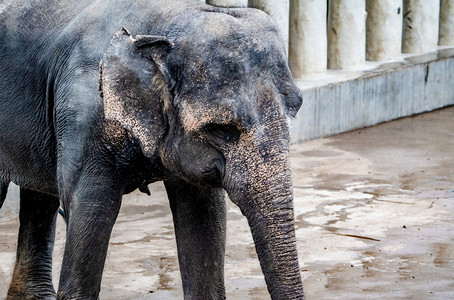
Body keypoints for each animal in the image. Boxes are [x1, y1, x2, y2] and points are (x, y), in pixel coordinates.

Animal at [0, 0, 306, 298]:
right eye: (222, 129)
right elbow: (91, 210)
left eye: (296, 107)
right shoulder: (83, 114)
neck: (162, 25)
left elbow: (204, 215)